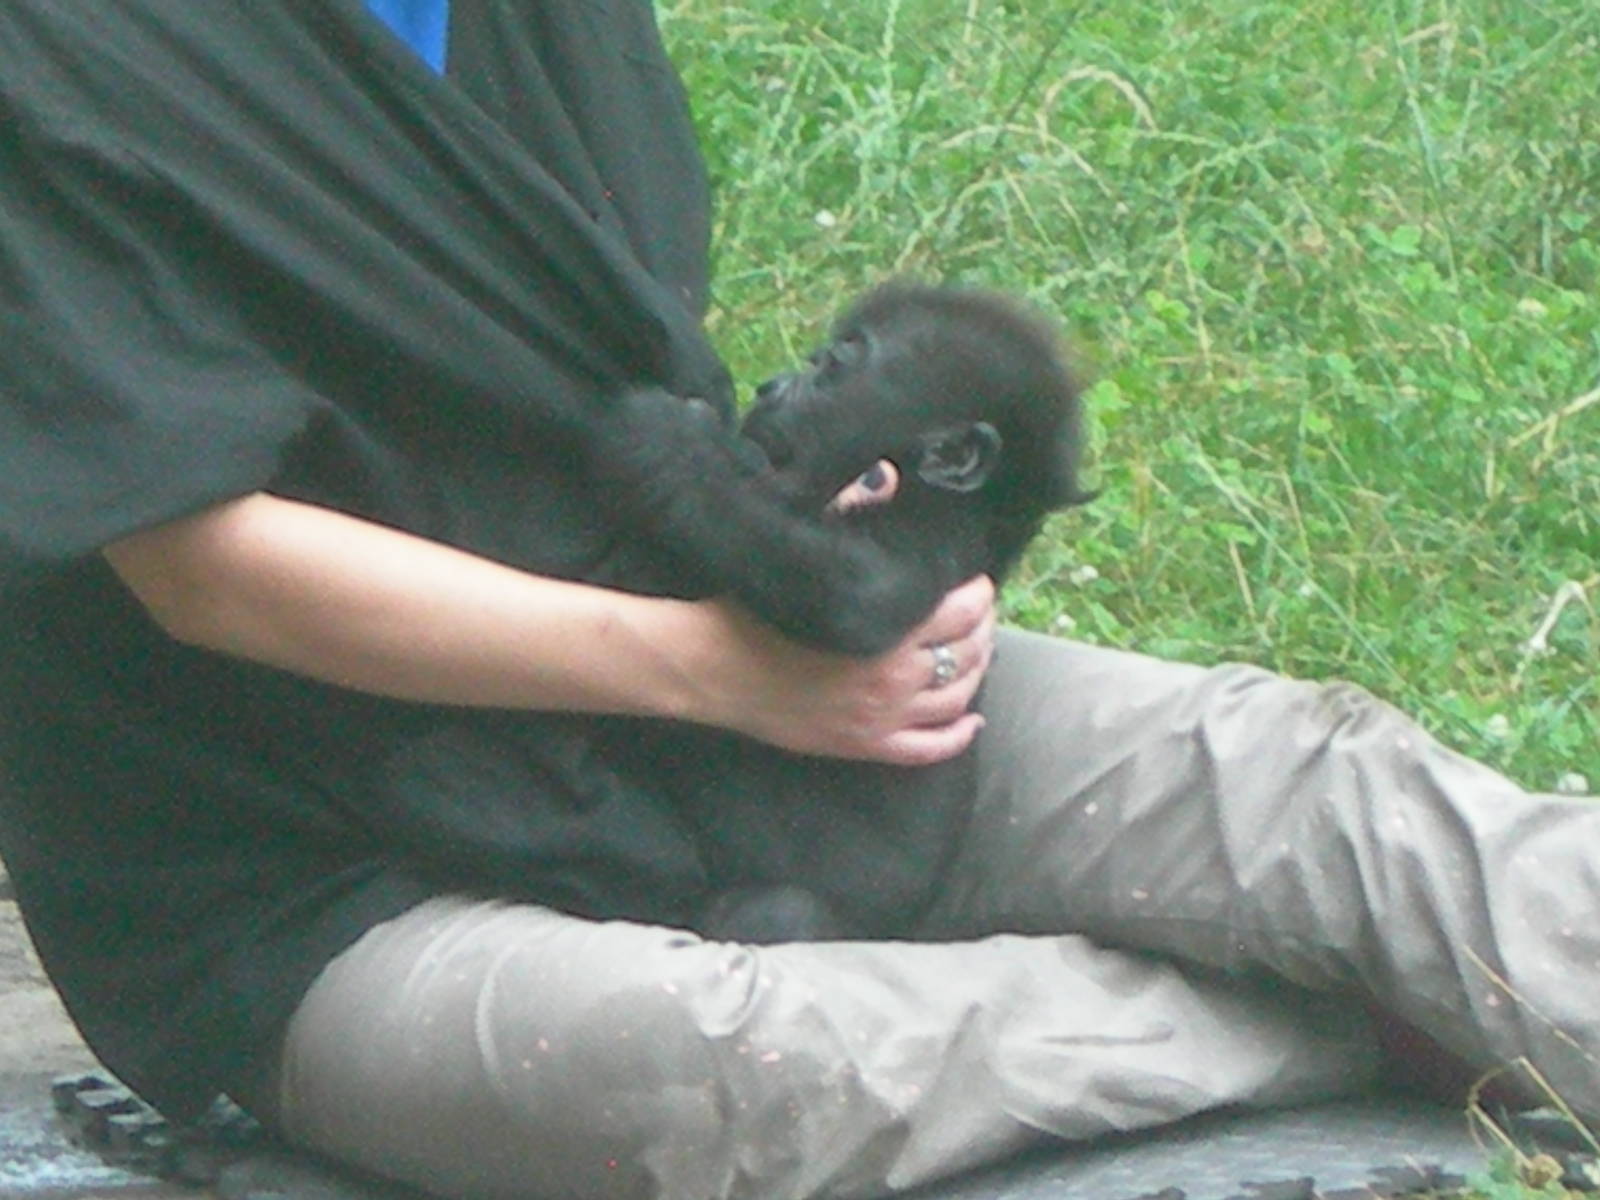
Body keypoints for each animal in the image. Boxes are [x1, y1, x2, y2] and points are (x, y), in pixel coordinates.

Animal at [368, 282, 1093, 943]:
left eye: (833, 367)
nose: (771, 385)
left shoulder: (927, 540)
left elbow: (853, 593)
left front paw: (673, 443)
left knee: (775, 913)